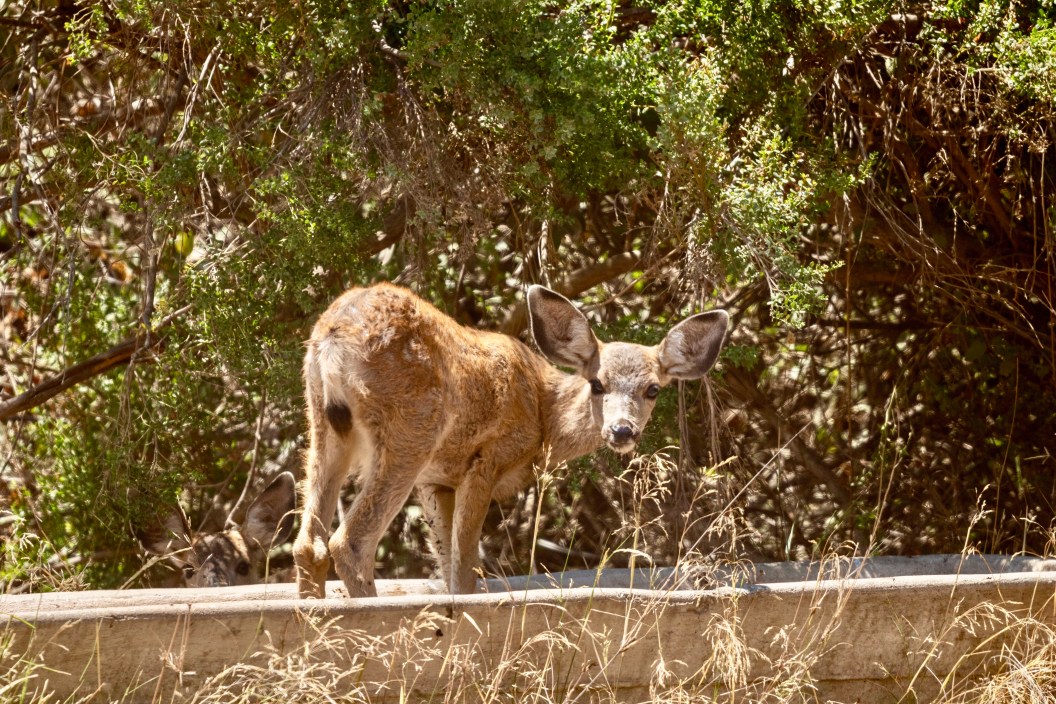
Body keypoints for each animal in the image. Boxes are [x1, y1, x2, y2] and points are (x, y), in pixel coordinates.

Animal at [293, 282, 729, 599]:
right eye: (597, 383)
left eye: (653, 389)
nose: (622, 430)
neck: (541, 413)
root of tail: (332, 339)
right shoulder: (487, 457)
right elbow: (464, 569)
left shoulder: (436, 479)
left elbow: (448, 567)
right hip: (410, 429)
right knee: (349, 543)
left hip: (323, 422)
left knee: (308, 544)